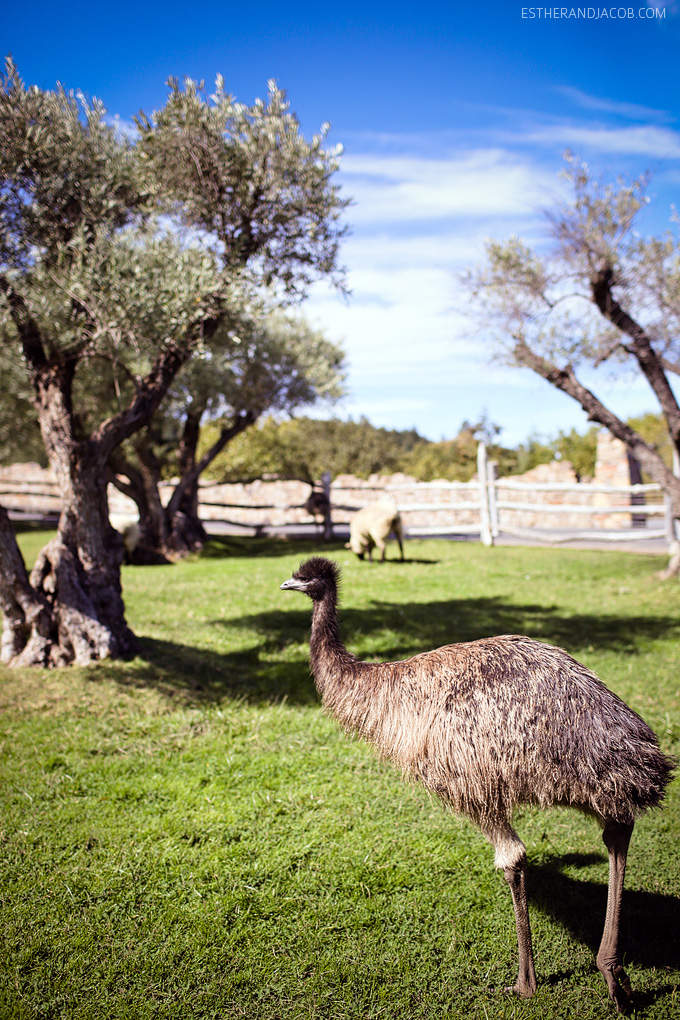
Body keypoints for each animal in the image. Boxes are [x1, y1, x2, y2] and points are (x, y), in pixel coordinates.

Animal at [281, 558, 676, 1011]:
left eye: (307, 577)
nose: (286, 583)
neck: (385, 692)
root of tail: (640, 756)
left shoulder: (468, 788)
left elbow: (513, 861)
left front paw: (525, 986)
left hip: (552, 777)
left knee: (553, 844)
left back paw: (589, 975)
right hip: (587, 786)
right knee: (617, 828)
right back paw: (614, 971)